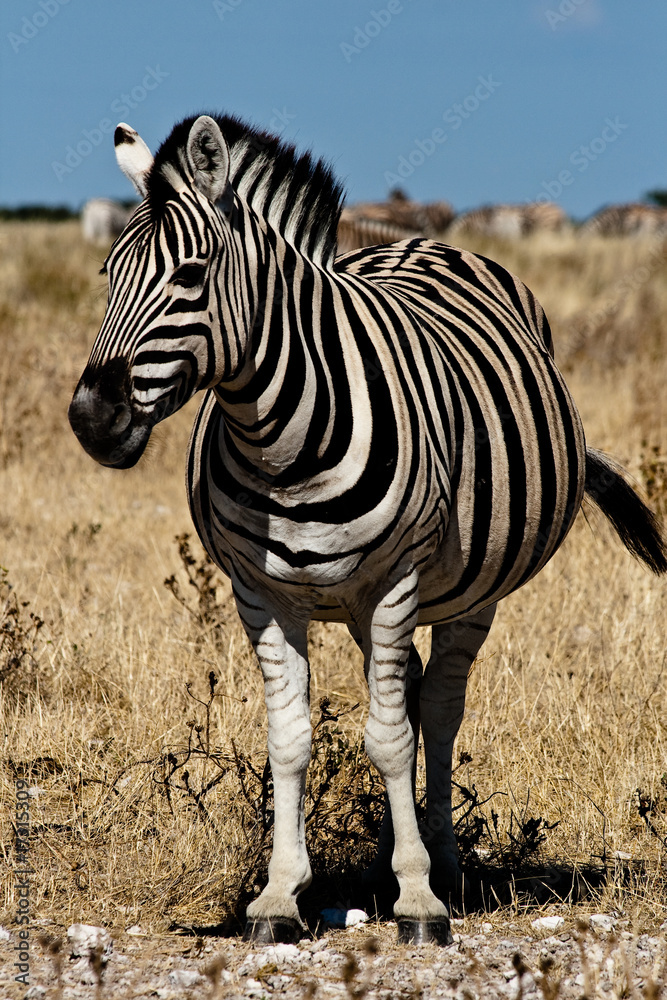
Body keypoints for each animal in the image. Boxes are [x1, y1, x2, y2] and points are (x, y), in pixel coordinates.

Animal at [68, 114, 666, 946]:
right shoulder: (260, 594)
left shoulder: (394, 582)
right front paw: (279, 897)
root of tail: (420, 239)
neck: (281, 445)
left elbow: (388, 737)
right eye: (106, 274)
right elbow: (290, 738)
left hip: (463, 591)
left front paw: (417, 899)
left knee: (435, 711)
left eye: (190, 275)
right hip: (357, 605)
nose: (92, 419)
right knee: (406, 695)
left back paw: (436, 861)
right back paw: (394, 844)